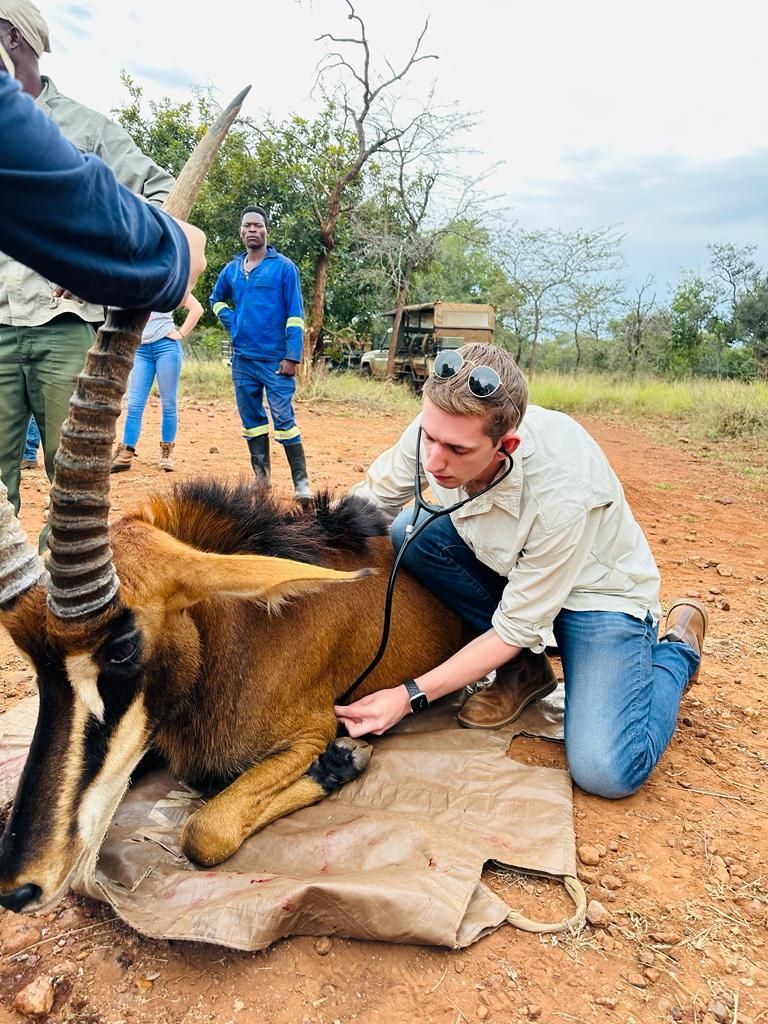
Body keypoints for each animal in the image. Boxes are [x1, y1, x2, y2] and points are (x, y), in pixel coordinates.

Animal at [0, 92, 462, 915]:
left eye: (122, 646)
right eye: (26, 656)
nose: (22, 884)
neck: (235, 634)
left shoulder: (308, 727)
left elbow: (204, 831)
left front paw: (340, 766)